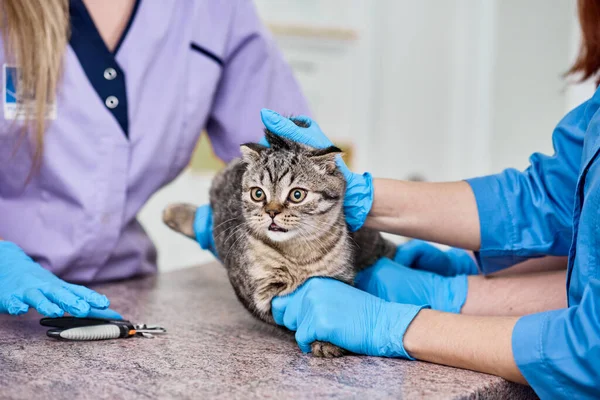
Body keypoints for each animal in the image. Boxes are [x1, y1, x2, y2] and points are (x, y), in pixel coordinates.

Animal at [164, 123, 396, 358]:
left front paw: (328, 341)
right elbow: (285, 319)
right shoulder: (257, 293)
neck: (300, 254)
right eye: (258, 194)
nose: (272, 212)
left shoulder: (340, 277)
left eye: (297, 195)